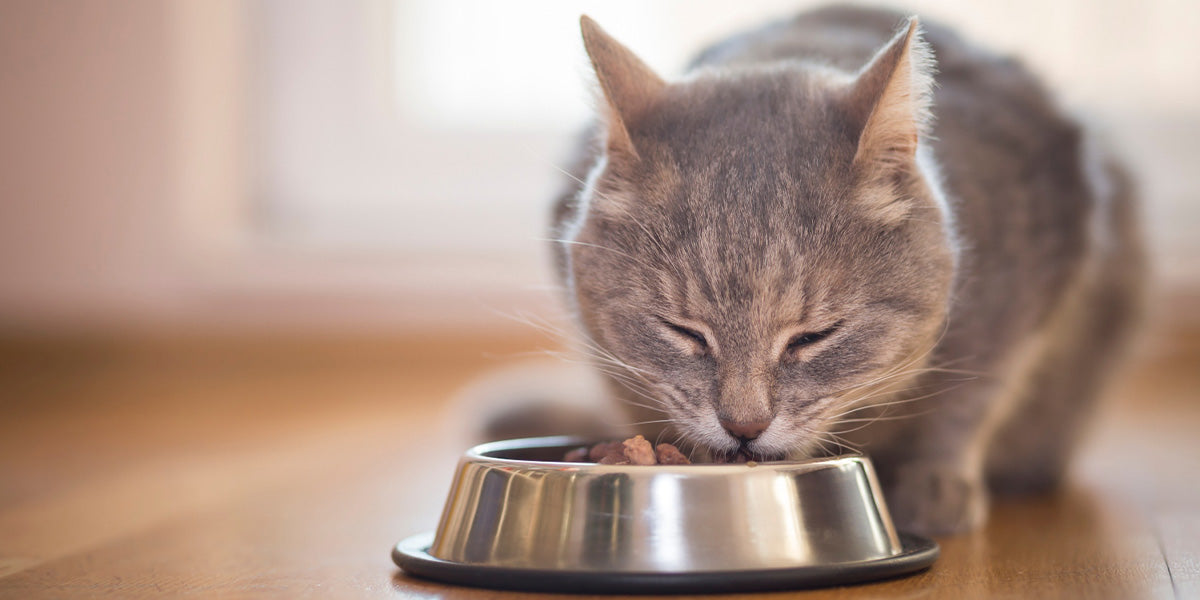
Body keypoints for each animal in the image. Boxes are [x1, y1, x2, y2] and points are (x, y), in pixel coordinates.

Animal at [544, 5, 1142, 535]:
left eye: (814, 337)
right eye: (684, 332)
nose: (743, 426)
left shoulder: (1028, 287)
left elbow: (972, 397)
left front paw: (937, 479)